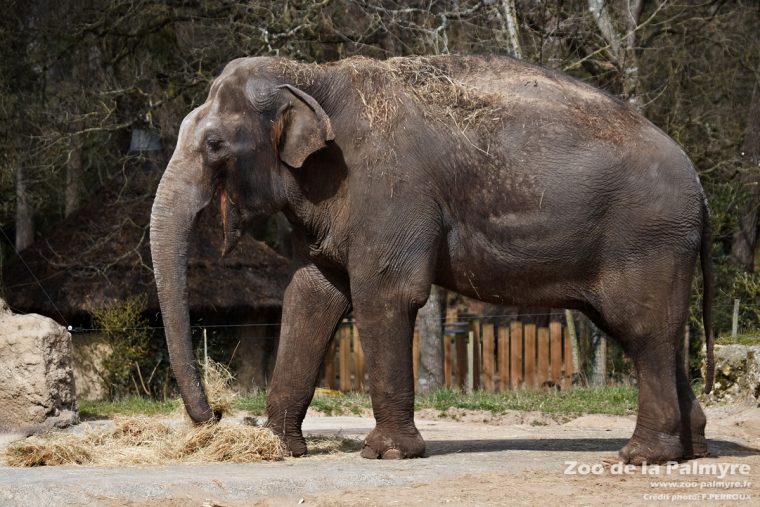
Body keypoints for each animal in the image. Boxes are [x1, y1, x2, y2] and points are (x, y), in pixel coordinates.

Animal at [151, 54, 716, 464]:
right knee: (656, 333)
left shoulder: (388, 190)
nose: (216, 415)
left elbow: (384, 293)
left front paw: (385, 455)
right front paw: (277, 449)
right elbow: (310, 296)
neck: (312, 75)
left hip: (646, 239)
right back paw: (691, 450)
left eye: (214, 144)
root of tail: (699, 183)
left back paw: (642, 456)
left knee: (643, 331)